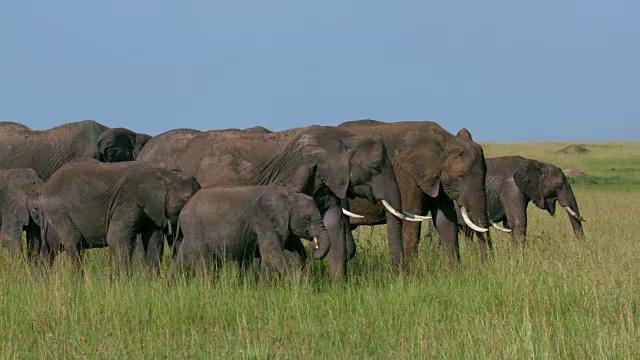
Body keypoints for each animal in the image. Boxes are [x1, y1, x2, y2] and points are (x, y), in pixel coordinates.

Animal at [38, 159, 199, 272]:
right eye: (186, 199)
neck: (167, 176)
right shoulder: (128, 201)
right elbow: (116, 239)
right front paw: (121, 282)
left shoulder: (152, 207)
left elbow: (154, 241)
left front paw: (151, 283)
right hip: (58, 211)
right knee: (74, 243)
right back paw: (77, 282)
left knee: (50, 248)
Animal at [174, 184, 330, 274]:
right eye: (307, 218)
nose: (314, 245)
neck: (289, 195)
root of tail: (183, 210)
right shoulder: (263, 220)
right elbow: (270, 254)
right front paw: (292, 280)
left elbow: (295, 247)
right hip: (195, 229)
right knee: (204, 262)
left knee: (182, 258)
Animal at [340, 119, 490, 266]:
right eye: (460, 175)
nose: (484, 265)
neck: (446, 139)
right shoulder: (408, 175)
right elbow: (412, 216)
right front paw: (412, 272)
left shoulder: (436, 178)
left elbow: (445, 219)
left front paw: (453, 271)